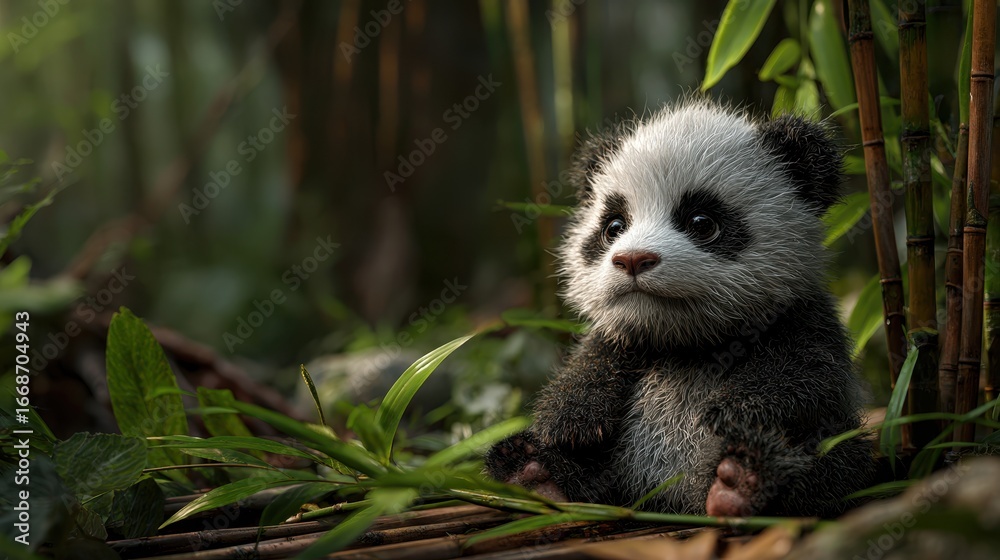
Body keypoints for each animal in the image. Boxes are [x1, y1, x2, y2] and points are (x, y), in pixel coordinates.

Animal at [485, 100, 876, 517]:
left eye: (701, 222)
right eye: (614, 226)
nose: (632, 259)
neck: (687, 342)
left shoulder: (801, 315)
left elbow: (805, 372)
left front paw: (735, 412)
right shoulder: (627, 336)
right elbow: (592, 359)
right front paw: (569, 417)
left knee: (836, 462)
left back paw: (742, 480)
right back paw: (533, 474)